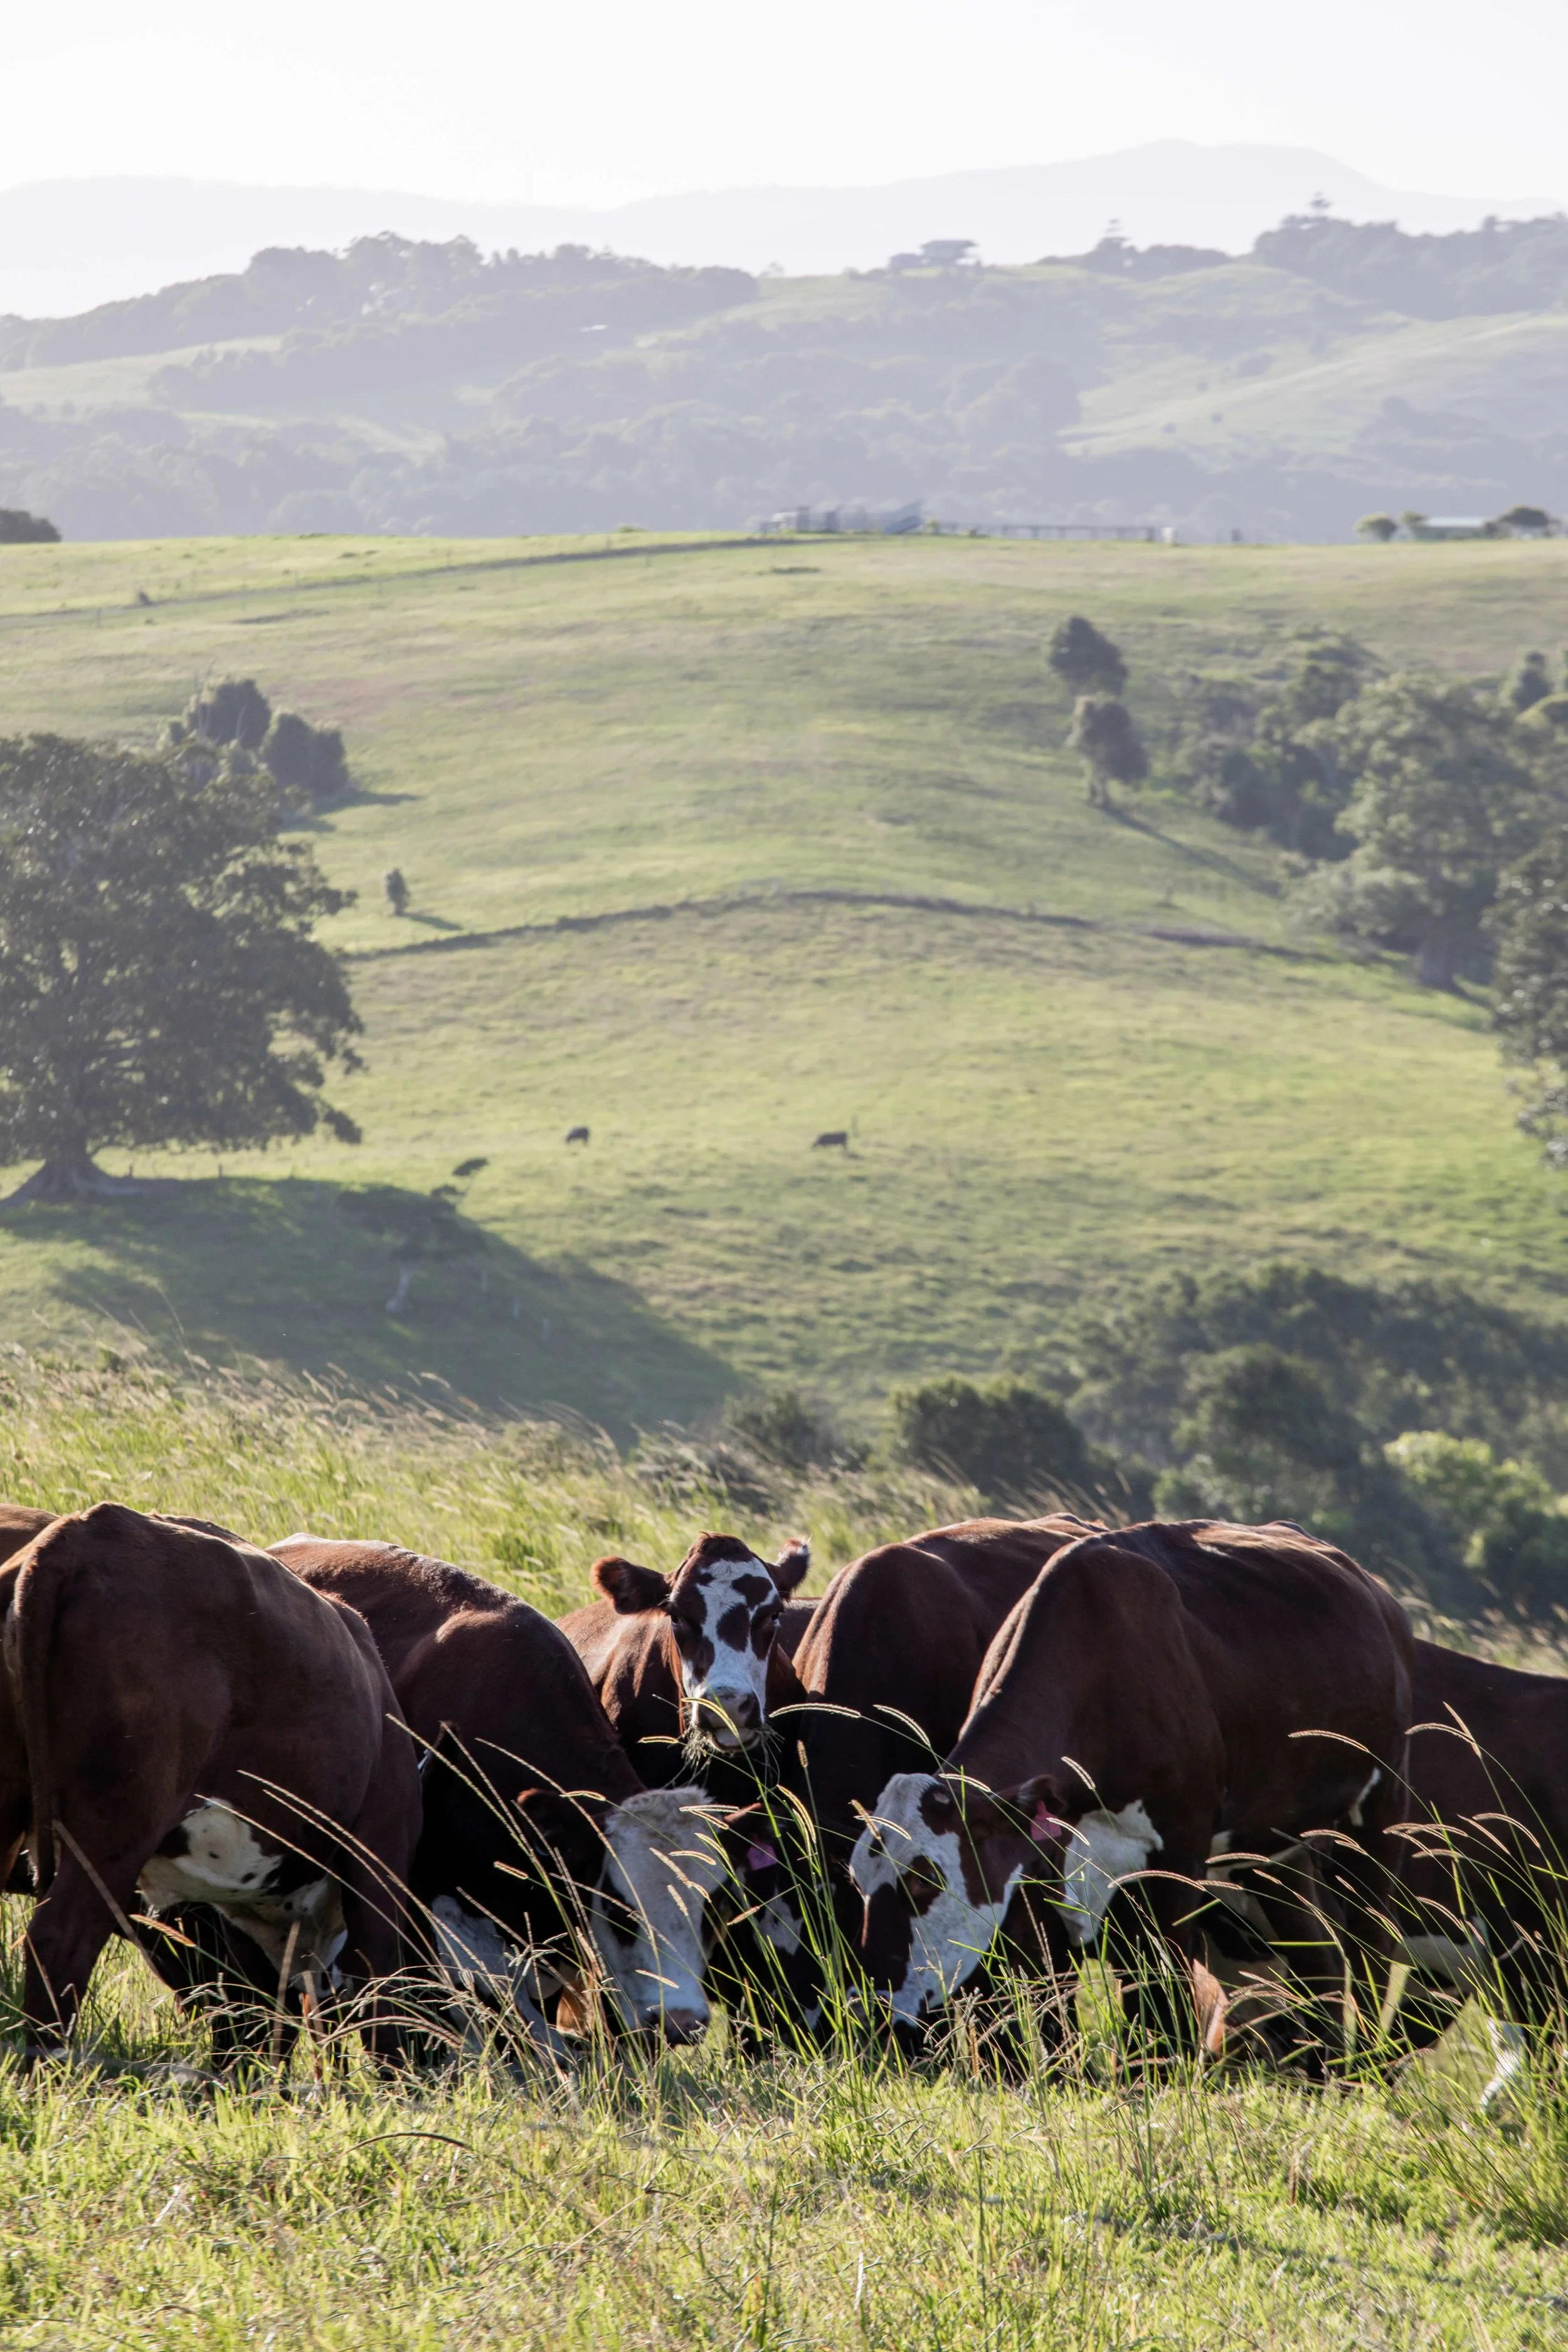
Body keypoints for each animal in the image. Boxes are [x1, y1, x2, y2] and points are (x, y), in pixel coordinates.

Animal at [848, 1521, 1413, 2062]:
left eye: (924, 1880)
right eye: (858, 1879)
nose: (870, 2002)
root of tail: (1378, 1594)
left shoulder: (1176, 1858)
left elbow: (1161, 2002)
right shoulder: (1039, 1876)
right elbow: (1047, 2007)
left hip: (1380, 1815)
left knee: (1370, 1949)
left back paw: (1368, 2065)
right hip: (1273, 1847)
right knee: (1321, 1957)